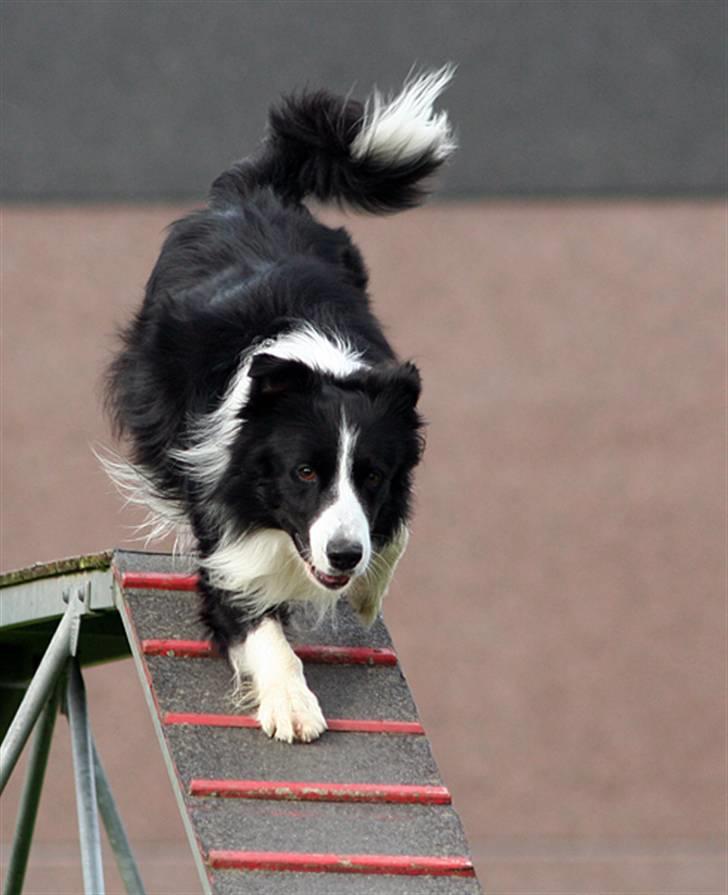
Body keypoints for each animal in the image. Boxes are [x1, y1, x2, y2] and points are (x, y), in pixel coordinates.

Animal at [104, 68, 456, 744]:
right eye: (305, 472)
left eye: (372, 476)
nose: (344, 555)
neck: (312, 364)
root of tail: (251, 190)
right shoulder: (220, 502)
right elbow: (250, 610)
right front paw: (293, 707)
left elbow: (394, 533)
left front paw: (367, 590)